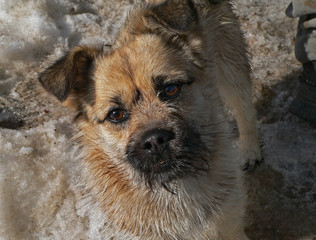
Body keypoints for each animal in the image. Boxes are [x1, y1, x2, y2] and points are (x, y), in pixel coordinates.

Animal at [38, 0, 260, 239]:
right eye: (115, 114)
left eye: (171, 89)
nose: (155, 140)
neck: (174, 186)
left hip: (231, 70)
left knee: (245, 110)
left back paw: (250, 151)